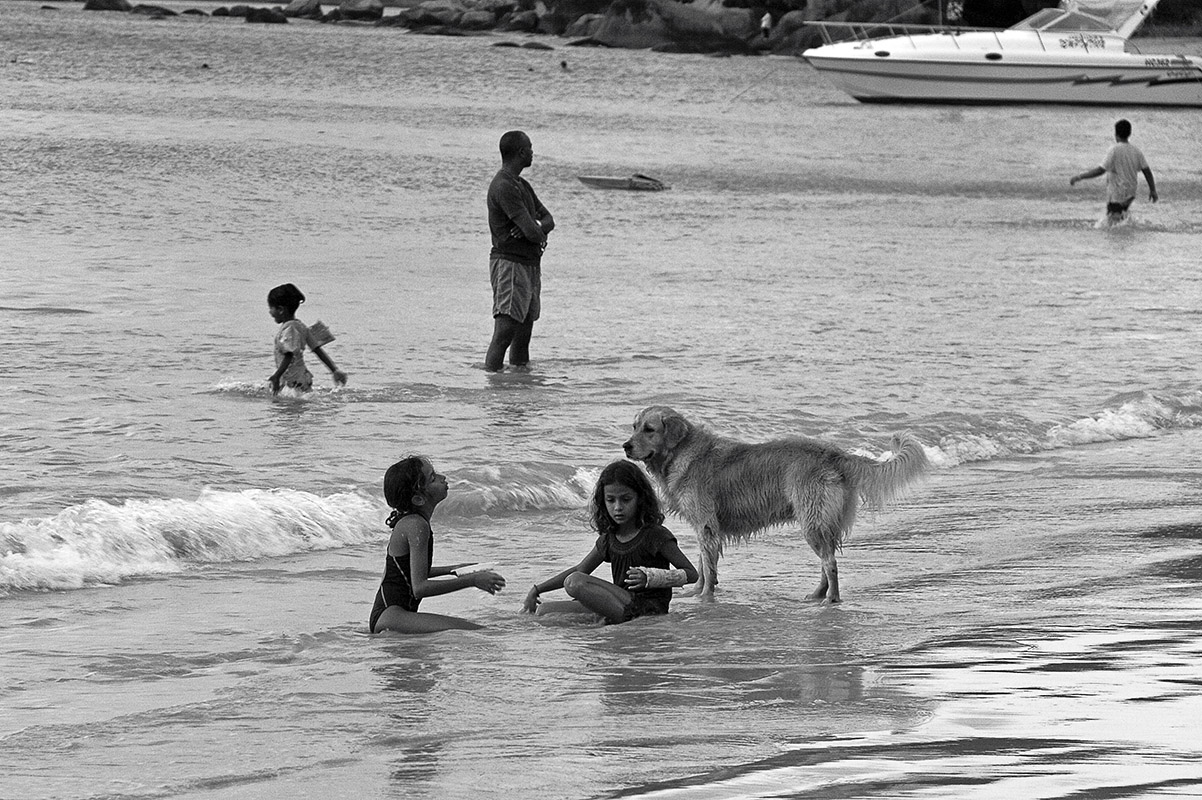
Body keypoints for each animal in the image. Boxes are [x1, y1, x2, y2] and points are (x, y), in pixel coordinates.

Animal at [625, 406, 923, 598]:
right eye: (634, 426)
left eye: (649, 429)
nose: (625, 446)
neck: (681, 453)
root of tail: (833, 452)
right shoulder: (707, 525)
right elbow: (703, 563)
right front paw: (698, 591)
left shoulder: (706, 523)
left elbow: (707, 567)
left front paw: (705, 596)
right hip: (824, 523)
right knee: (827, 561)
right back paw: (817, 595)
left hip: (812, 519)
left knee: (830, 564)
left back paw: (830, 600)